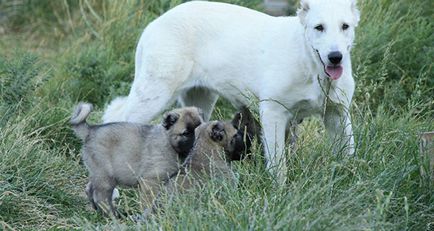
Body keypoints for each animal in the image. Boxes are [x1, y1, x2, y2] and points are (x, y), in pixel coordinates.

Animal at [70, 102, 203, 216]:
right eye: (185, 133)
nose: (196, 141)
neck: (168, 141)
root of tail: (90, 131)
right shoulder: (150, 181)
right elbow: (148, 202)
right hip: (106, 177)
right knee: (101, 198)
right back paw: (113, 216)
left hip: (98, 174)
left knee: (89, 189)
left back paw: (97, 210)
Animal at [102, 0, 360, 183]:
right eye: (319, 28)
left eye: (345, 26)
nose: (335, 56)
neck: (311, 65)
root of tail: (153, 25)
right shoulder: (273, 111)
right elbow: (278, 162)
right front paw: (280, 190)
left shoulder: (338, 112)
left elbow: (348, 150)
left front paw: (350, 179)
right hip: (155, 93)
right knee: (117, 120)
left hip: (200, 100)